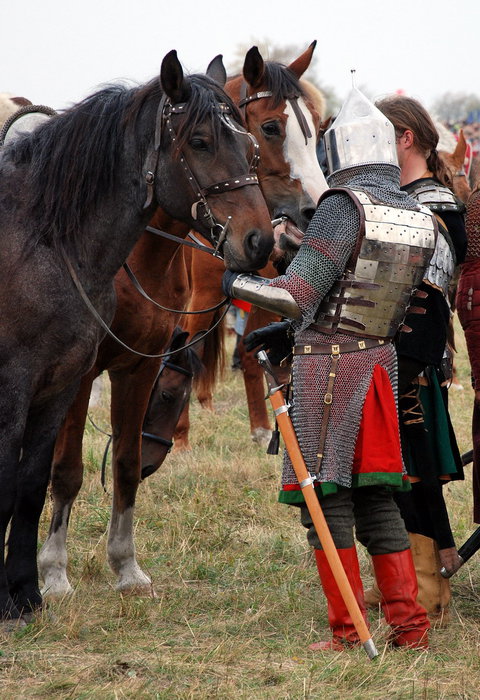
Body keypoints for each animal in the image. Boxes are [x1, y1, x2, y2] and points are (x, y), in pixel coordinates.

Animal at [0, 52, 272, 628]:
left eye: (250, 144)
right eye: (199, 142)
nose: (261, 241)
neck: (46, 242)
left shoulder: (83, 378)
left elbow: (45, 479)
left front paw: (36, 591)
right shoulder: (28, 385)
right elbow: (42, 475)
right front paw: (39, 585)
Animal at [173, 43, 330, 452]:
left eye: (318, 129)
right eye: (271, 127)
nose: (313, 209)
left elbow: (250, 350)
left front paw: (263, 426)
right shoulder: (202, 294)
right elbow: (185, 347)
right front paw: (179, 439)